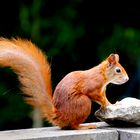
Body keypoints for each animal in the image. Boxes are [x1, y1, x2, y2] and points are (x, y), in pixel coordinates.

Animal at [0, 37, 129, 130]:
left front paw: (111, 103)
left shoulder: (102, 91)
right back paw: (85, 126)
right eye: (118, 70)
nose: (127, 79)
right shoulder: (92, 87)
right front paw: (109, 105)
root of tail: (59, 116)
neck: (102, 75)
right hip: (83, 103)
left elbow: (104, 98)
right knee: (73, 126)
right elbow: (98, 97)